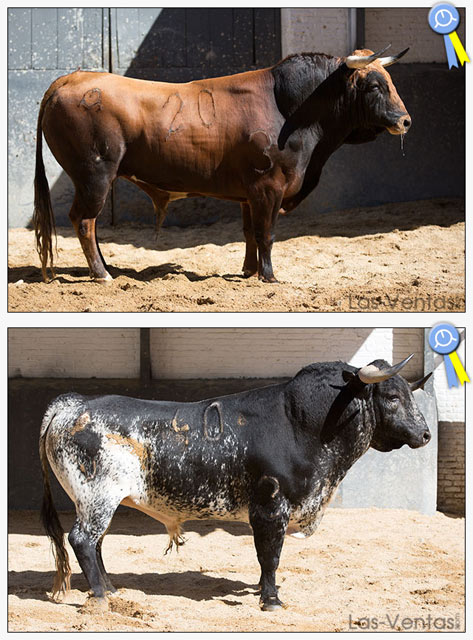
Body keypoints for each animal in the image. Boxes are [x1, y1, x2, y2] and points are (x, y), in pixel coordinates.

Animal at [34, 46, 410, 284]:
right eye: (374, 85)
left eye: (390, 82)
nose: (405, 121)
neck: (289, 107)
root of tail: (68, 80)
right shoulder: (268, 187)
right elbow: (266, 233)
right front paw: (269, 276)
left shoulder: (249, 195)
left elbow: (249, 233)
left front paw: (249, 271)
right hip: (95, 175)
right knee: (85, 221)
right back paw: (102, 275)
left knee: (90, 224)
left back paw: (105, 268)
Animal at [41, 356, 432, 608]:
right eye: (392, 398)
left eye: (409, 395)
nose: (426, 434)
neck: (302, 424)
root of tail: (73, 404)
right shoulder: (271, 508)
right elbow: (270, 555)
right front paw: (271, 599)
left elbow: (265, 557)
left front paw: (261, 590)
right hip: (97, 499)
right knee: (82, 540)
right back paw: (101, 597)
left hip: (97, 503)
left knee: (96, 543)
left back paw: (110, 588)